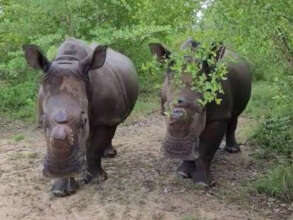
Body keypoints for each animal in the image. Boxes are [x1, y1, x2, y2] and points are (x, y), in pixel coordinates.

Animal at [22, 37, 139, 196]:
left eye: (84, 121)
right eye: (43, 121)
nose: (60, 169)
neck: (68, 61)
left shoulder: (105, 118)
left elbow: (95, 148)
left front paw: (97, 179)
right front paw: (60, 190)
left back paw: (108, 155)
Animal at [148, 39, 251, 186]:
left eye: (201, 109)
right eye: (166, 109)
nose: (176, 150)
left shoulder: (218, 116)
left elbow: (207, 149)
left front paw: (203, 183)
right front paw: (183, 173)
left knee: (234, 115)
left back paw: (233, 150)